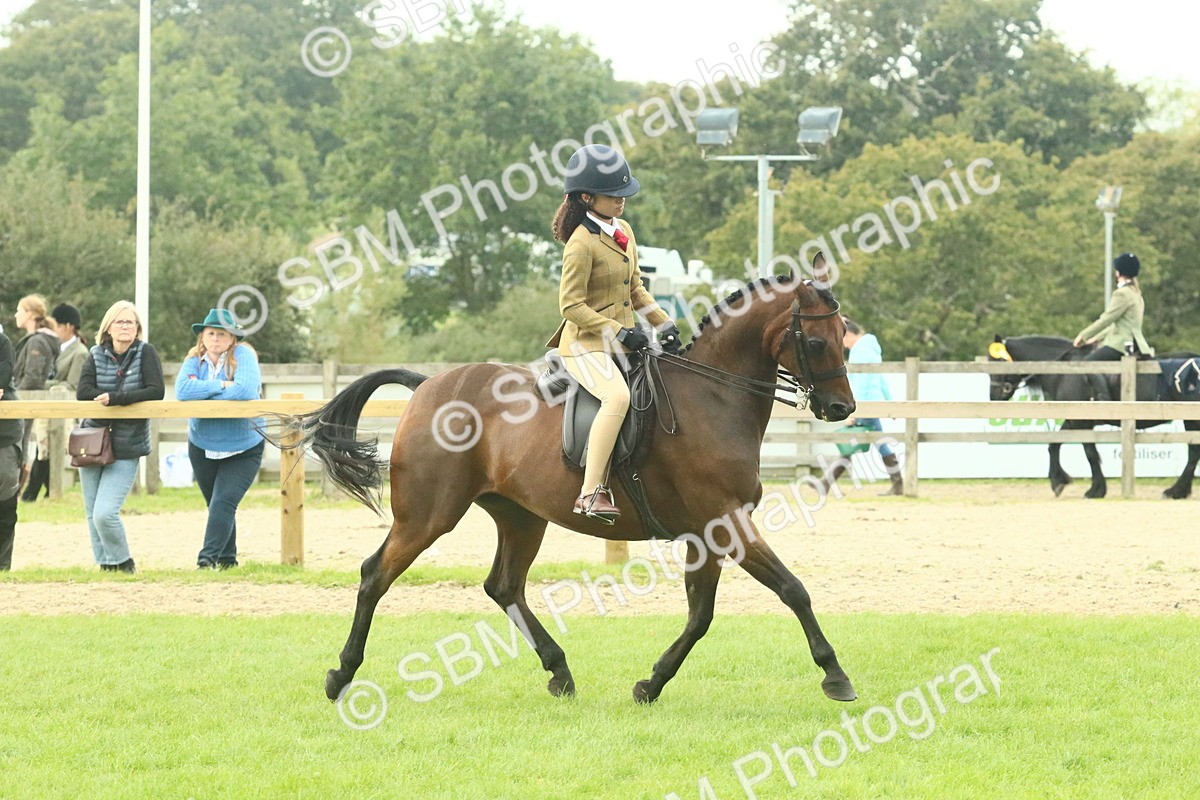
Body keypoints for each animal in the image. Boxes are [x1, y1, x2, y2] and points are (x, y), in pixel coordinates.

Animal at [298, 262, 859, 706]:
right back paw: (341, 675)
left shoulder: (708, 533)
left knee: (504, 585)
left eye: (845, 340)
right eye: (815, 341)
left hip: (520, 516)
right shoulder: (726, 523)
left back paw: (560, 671)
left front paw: (651, 683)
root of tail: (427, 386)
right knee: (375, 574)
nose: (841, 409)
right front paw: (836, 675)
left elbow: (700, 615)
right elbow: (792, 590)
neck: (713, 396)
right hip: (428, 516)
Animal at [988, 335, 1200, 499]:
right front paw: (1058, 481)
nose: (993, 396)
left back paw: (1176, 490)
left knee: (1194, 452)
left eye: (998, 362)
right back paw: (1180, 490)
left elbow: (1090, 453)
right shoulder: (1073, 420)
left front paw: (1096, 489)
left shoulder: (1082, 422)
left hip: (1192, 419)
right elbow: (1054, 444)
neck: (1067, 371)